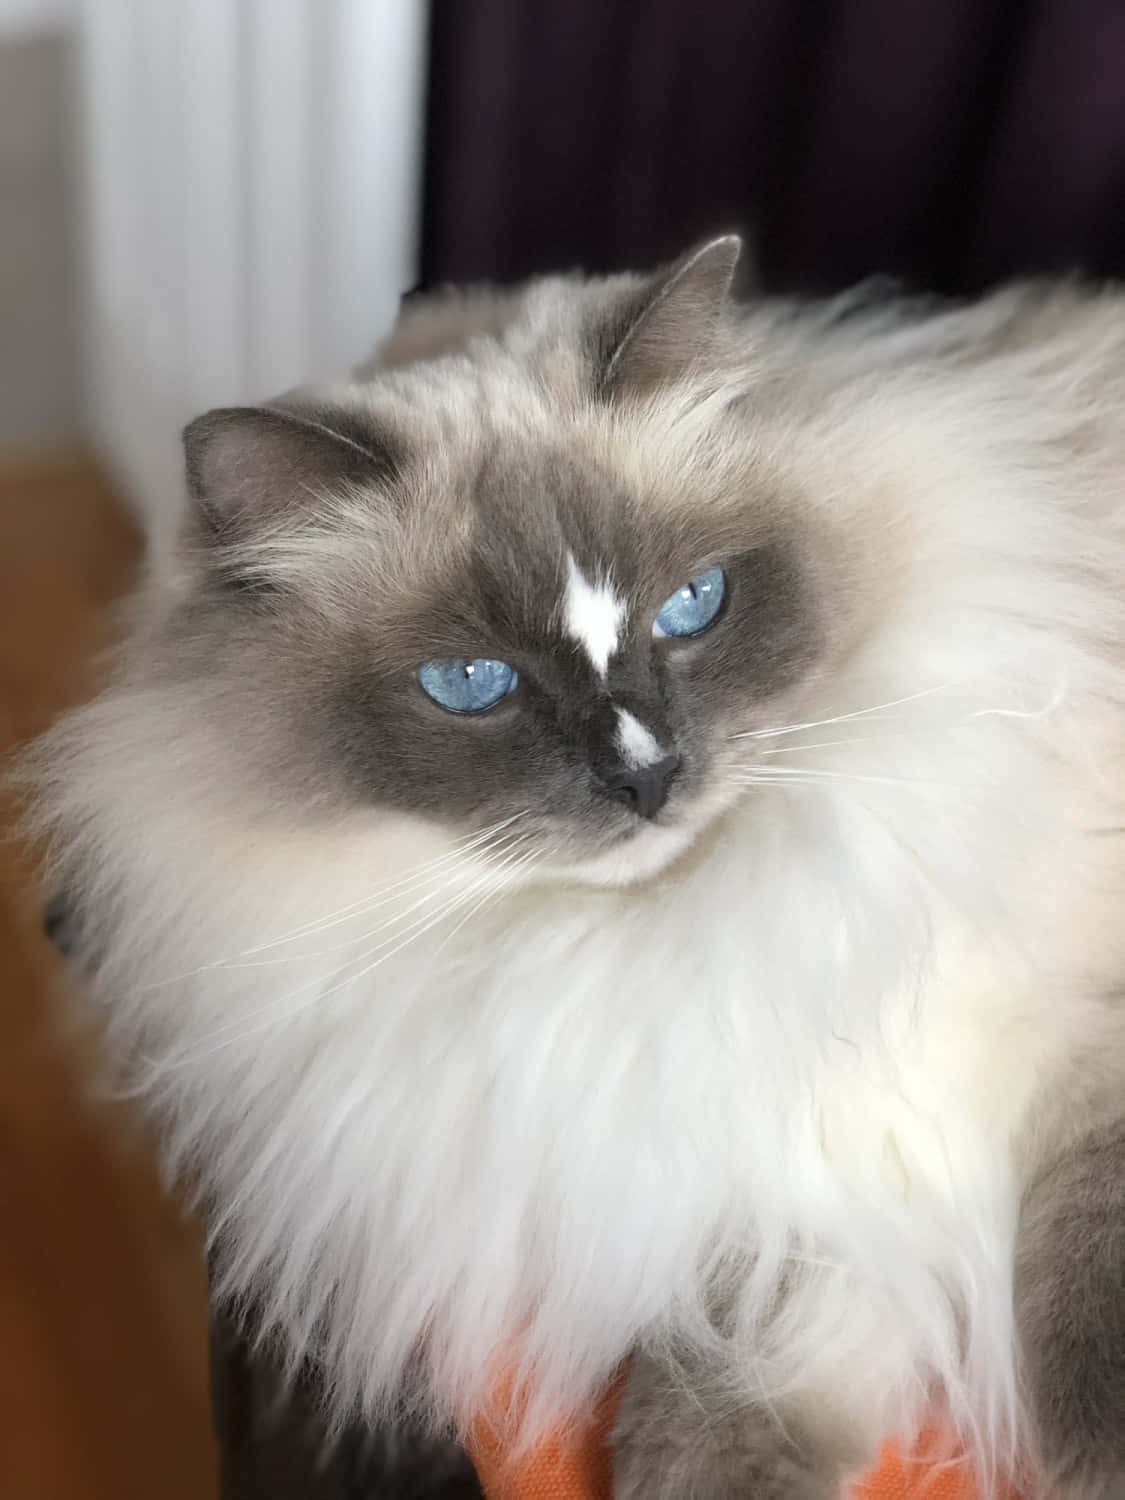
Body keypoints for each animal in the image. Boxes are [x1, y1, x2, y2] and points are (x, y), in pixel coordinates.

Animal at [19, 240, 1125, 1494]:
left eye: (694, 605)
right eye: (470, 685)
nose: (647, 778)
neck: (663, 938)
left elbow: (1094, 1327)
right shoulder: (765, 1203)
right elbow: (717, 1407)